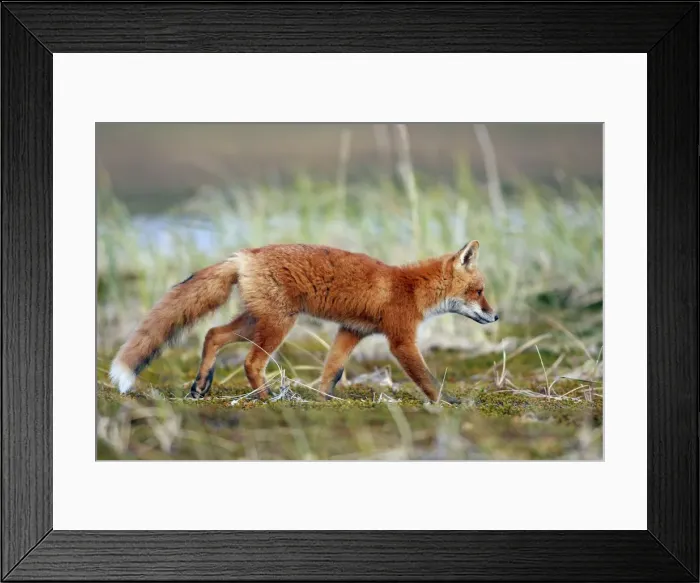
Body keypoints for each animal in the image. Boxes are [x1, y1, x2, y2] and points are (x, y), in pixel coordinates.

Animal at [109, 240, 498, 404]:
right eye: (479, 291)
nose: (496, 315)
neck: (411, 288)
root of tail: (244, 255)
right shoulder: (401, 339)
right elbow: (427, 378)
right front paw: (448, 403)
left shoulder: (351, 331)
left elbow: (332, 370)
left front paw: (324, 400)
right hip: (278, 325)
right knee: (251, 363)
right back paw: (267, 398)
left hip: (256, 320)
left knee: (213, 334)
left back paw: (201, 385)